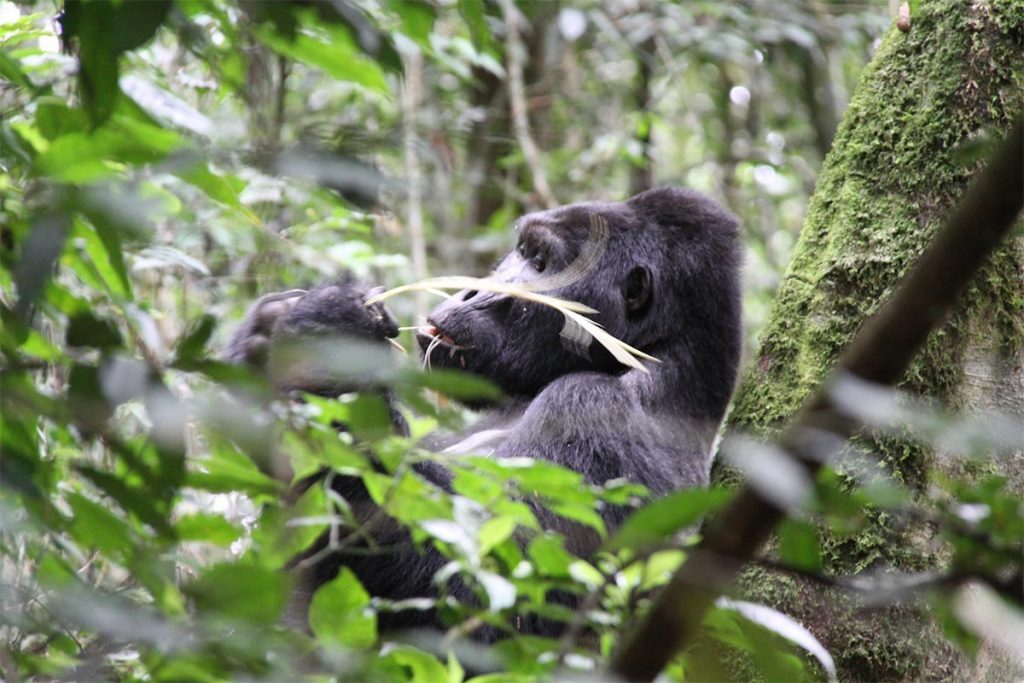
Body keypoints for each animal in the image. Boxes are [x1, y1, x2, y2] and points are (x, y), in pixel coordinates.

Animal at [224, 185, 741, 634]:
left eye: (540, 263)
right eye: (520, 251)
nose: (472, 289)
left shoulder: (594, 409)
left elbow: (493, 597)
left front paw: (328, 342)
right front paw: (259, 342)